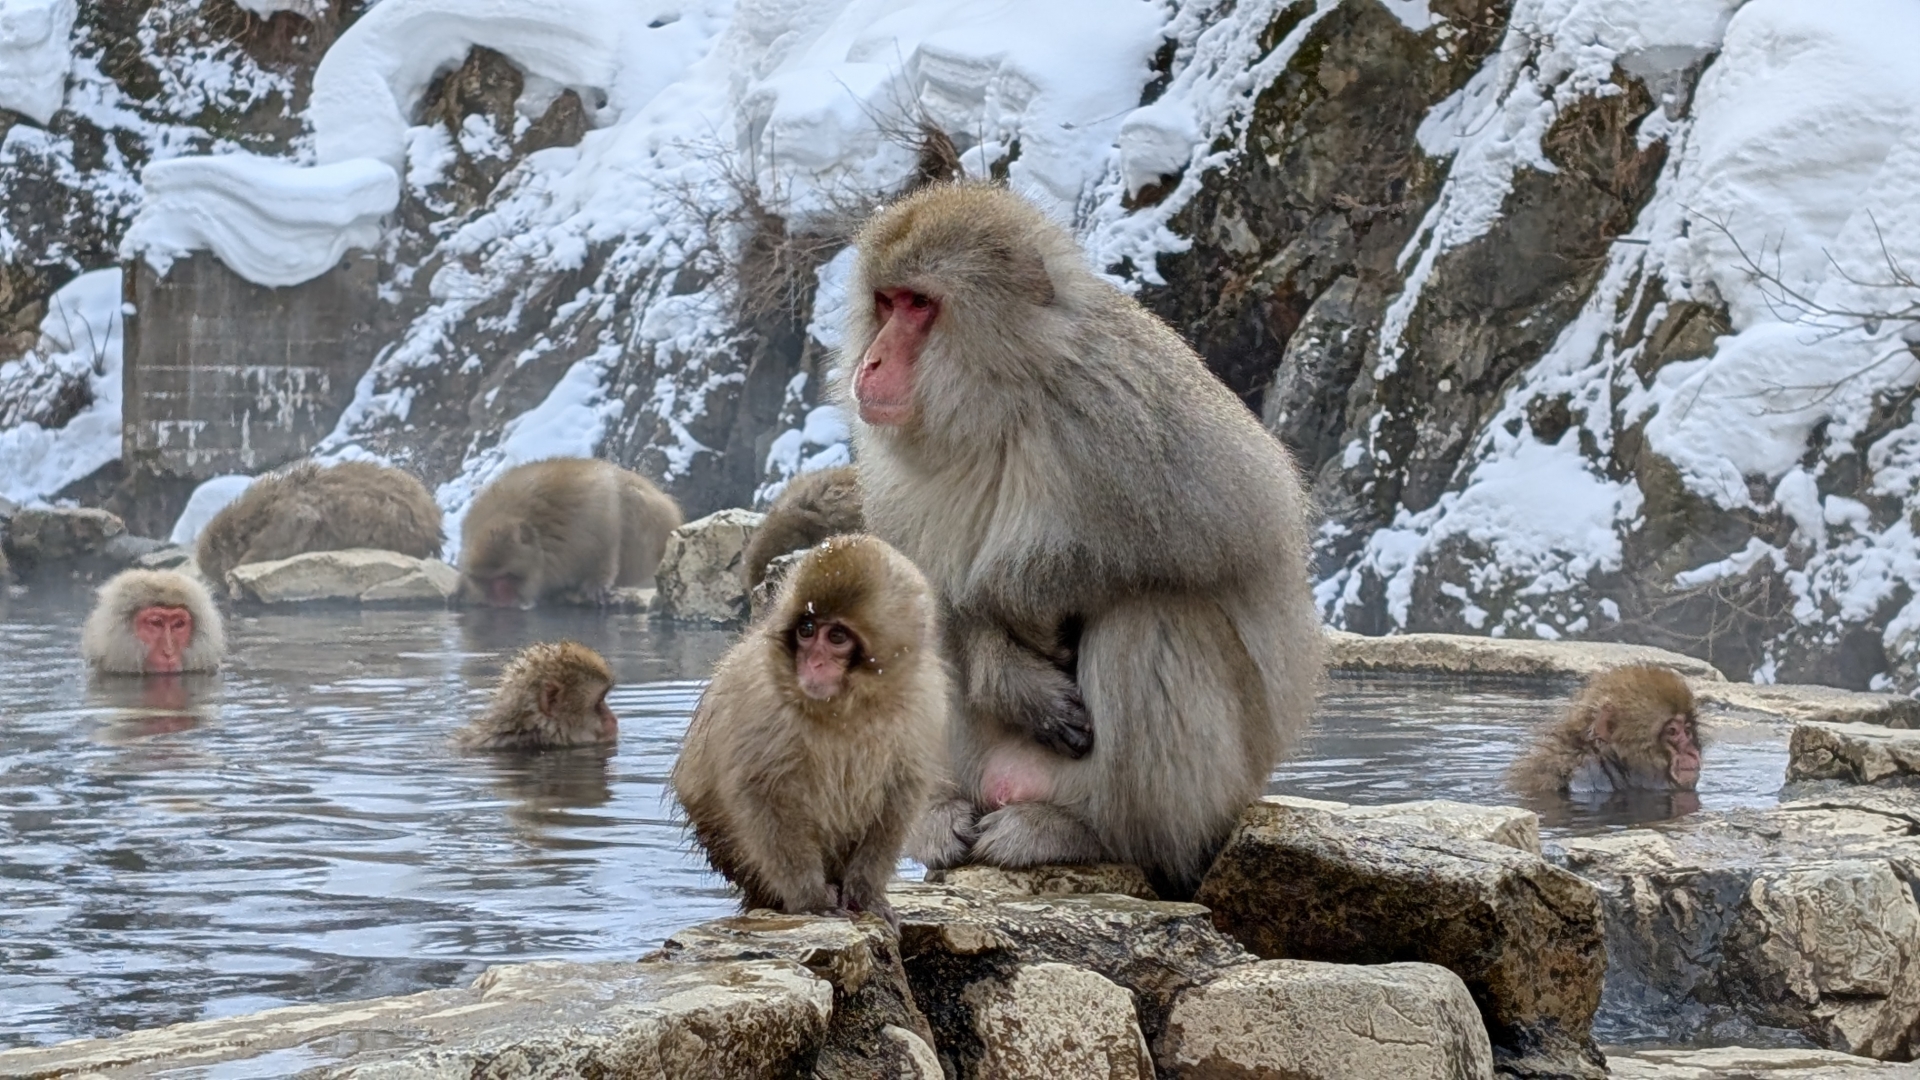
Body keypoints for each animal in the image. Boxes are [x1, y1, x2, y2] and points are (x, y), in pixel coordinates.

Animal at [459, 457, 683, 608]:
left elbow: (608, 521)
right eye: (488, 581)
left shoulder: (584, 517)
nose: (499, 598)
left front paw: (596, 583)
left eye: (504, 577)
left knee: (631, 500)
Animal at [672, 534, 948, 928]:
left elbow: (900, 794)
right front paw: (811, 898)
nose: (813, 663)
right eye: (806, 631)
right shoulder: (760, 699)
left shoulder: (925, 699)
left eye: (837, 636)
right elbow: (763, 792)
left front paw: (866, 893)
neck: (846, 706)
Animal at [839, 183, 1323, 897]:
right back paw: (939, 814)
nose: (871, 362)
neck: (999, 405)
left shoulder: (1122, 402)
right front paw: (1007, 671)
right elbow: (933, 598)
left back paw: (1093, 833)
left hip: (1205, 792)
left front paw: (1019, 593)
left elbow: (1239, 531)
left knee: (1152, 617)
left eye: (920, 305)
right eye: (885, 302)